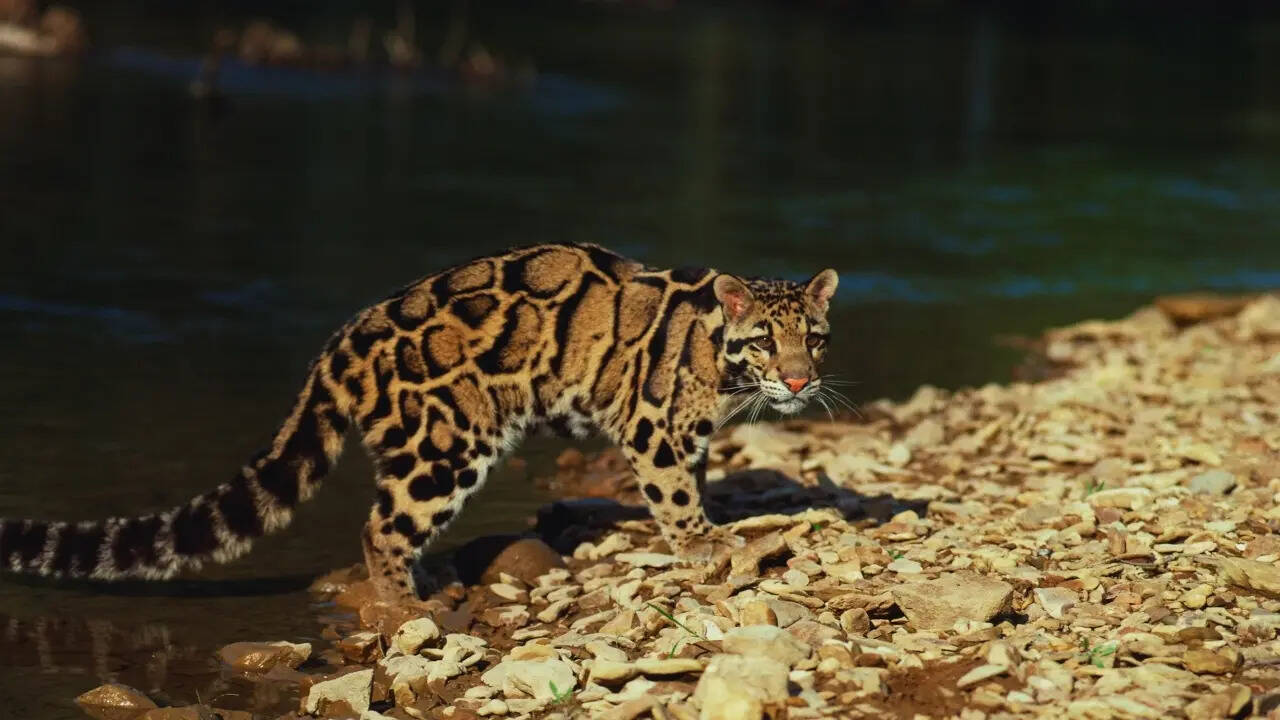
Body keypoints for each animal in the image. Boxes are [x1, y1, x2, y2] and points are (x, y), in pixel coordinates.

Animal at [0, 243, 839, 600]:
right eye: (765, 339)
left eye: (816, 337)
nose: (800, 379)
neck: (724, 367)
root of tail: (339, 343)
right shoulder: (651, 426)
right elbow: (675, 495)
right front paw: (700, 543)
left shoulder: (685, 437)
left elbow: (692, 481)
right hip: (445, 446)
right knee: (379, 527)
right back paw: (409, 605)